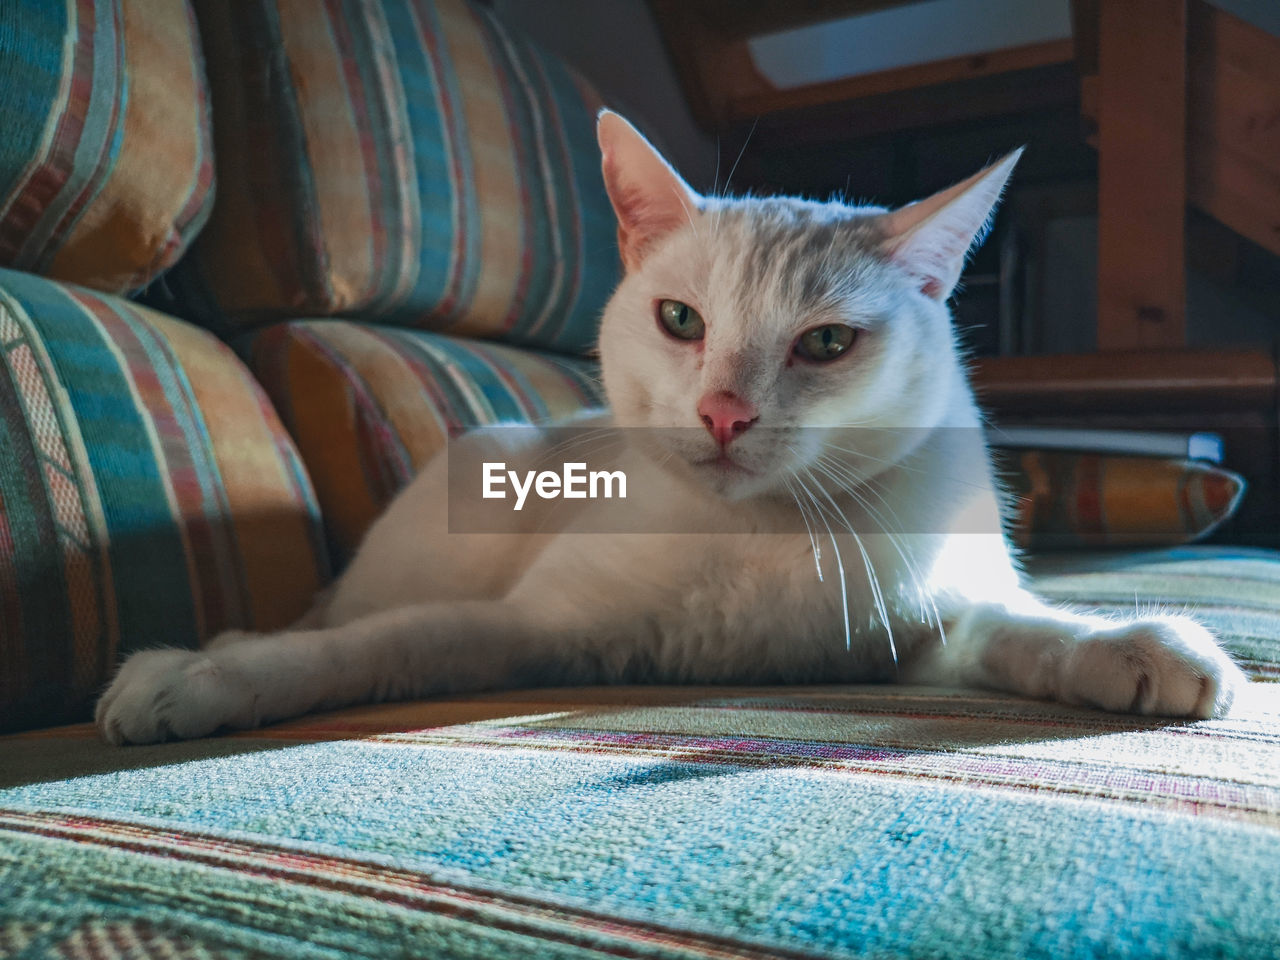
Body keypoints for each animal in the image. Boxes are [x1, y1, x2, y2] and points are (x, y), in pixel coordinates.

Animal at [94, 110, 1244, 742]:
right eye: (681, 321)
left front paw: (1138, 649)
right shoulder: (516, 629)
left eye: (827, 344)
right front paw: (199, 679)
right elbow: (369, 650)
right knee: (336, 618)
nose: (724, 411)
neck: (756, 536)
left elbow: (1022, 629)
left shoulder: (921, 633)